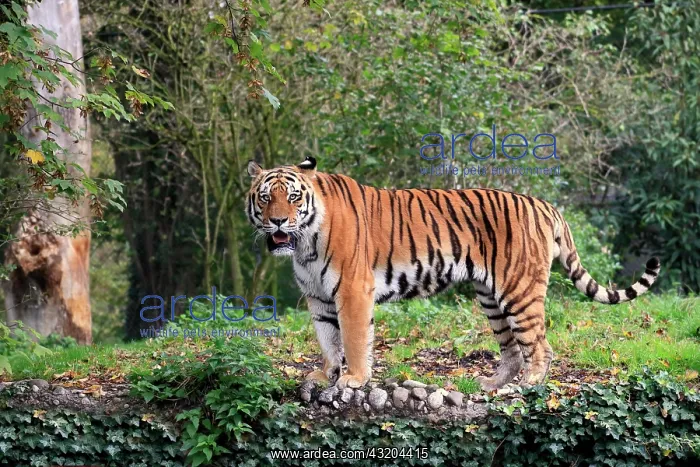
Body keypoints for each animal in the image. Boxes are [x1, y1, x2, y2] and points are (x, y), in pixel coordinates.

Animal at [245, 156, 660, 391]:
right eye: (266, 197)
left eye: (293, 197)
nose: (278, 221)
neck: (304, 243)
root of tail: (545, 205)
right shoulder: (318, 298)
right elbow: (328, 340)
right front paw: (326, 375)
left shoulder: (352, 291)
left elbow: (353, 339)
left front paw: (355, 379)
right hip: (490, 297)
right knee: (512, 349)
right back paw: (491, 384)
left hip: (519, 290)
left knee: (539, 346)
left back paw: (527, 386)